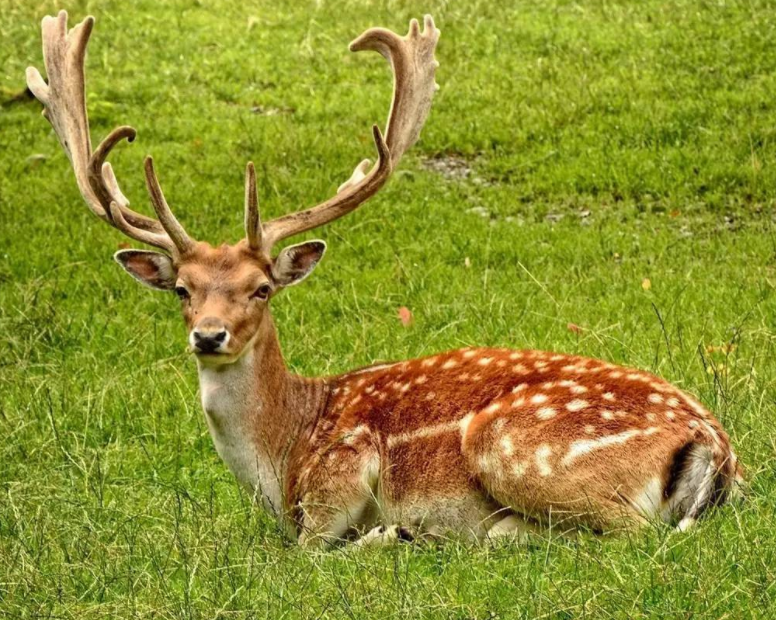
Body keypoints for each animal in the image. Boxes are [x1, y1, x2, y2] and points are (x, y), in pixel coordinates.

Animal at [27, 11, 743, 548]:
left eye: (262, 288)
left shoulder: (339, 475)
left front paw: (386, 534)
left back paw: (467, 534)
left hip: (515, 446)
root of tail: (714, 444)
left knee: (628, 533)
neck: (283, 455)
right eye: (183, 289)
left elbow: (308, 550)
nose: (209, 335)